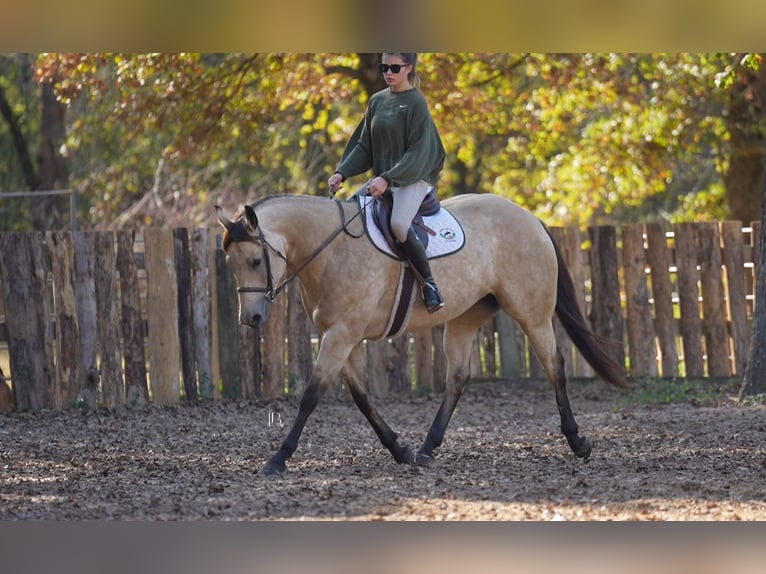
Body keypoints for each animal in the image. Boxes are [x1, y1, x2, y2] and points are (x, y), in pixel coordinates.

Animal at [215, 192, 627, 475]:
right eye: (231, 265)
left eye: (256, 261)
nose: (251, 318)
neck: (330, 249)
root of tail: (530, 218)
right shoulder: (341, 337)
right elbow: (362, 397)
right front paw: (400, 450)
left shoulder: (342, 335)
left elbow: (311, 396)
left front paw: (278, 458)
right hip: (464, 318)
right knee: (457, 378)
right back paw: (428, 448)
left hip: (532, 313)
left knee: (554, 365)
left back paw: (577, 441)